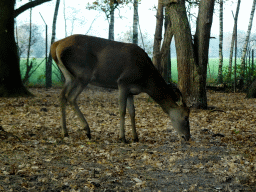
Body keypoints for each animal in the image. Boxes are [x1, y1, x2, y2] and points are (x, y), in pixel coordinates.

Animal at [50, 34, 190, 142]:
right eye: (186, 117)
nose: (188, 137)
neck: (144, 80)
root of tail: (55, 46)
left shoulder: (131, 91)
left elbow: (132, 112)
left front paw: (135, 137)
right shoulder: (123, 83)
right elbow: (122, 110)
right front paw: (123, 138)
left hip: (68, 76)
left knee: (62, 96)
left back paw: (65, 132)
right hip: (83, 74)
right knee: (71, 97)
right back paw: (87, 130)